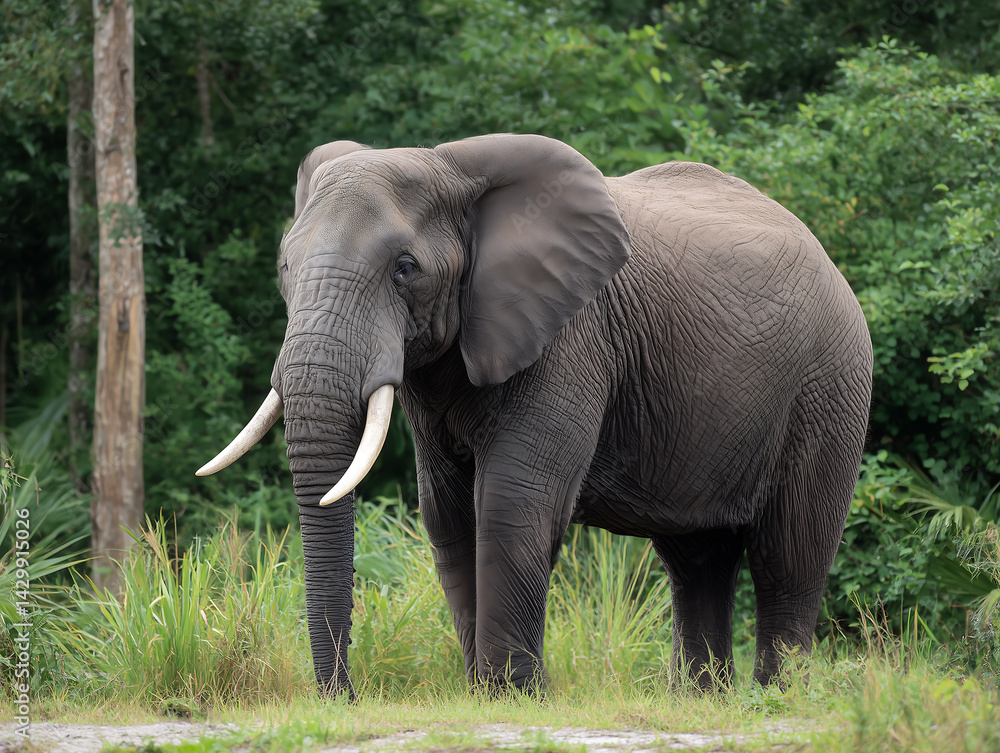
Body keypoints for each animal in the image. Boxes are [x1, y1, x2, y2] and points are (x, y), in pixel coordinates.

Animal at [197, 133, 873, 697]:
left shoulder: (571, 339)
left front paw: (512, 694)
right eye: (284, 267)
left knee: (790, 552)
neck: (447, 165)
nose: (347, 697)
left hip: (830, 384)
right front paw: (481, 692)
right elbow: (446, 512)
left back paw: (778, 698)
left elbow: (515, 499)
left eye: (405, 268)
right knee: (697, 559)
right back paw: (703, 700)